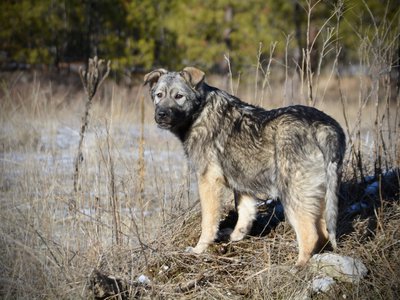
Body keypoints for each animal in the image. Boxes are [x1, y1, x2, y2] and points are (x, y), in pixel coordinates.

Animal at [144, 67, 346, 266]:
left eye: (179, 96)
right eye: (159, 95)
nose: (161, 114)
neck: (200, 112)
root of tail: (323, 126)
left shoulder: (208, 181)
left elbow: (208, 222)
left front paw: (199, 249)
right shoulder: (242, 183)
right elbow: (245, 214)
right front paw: (235, 237)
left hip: (292, 194)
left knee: (310, 234)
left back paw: (298, 266)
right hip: (317, 194)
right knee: (323, 231)